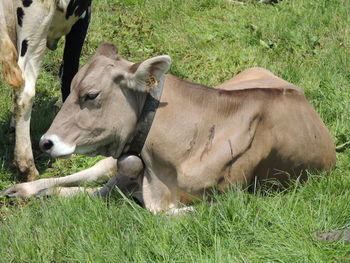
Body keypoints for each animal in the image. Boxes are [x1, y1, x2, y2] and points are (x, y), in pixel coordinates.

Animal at [0, 43, 336, 216]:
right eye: (70, 89)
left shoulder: (225, 199)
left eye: (90, 95)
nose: (45, 142)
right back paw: (23, 189)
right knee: (93, 172)